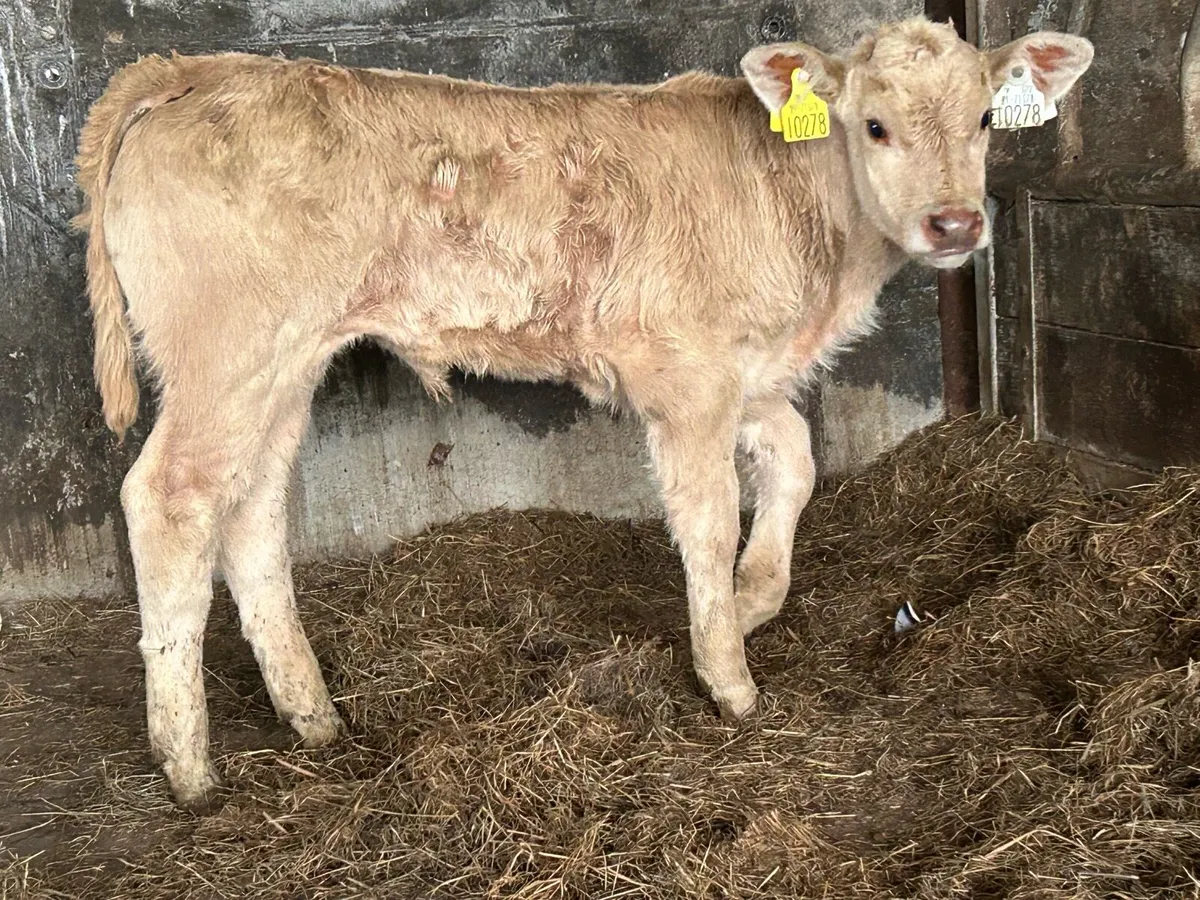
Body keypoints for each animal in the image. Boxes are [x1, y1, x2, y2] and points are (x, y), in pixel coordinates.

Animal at [73, 16, 1093, 811]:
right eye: (874, 125)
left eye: (985, 119)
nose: (956, 225)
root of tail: (191, 70)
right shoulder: (687, 375)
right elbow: (708, 516)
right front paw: (727, 676)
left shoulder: (751, 373)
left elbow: (796, 462)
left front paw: (753, 600)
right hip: (225, 355)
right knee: (170, 499)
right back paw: (189, 768)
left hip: (285, 362)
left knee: (250, 506)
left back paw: (312, 716)